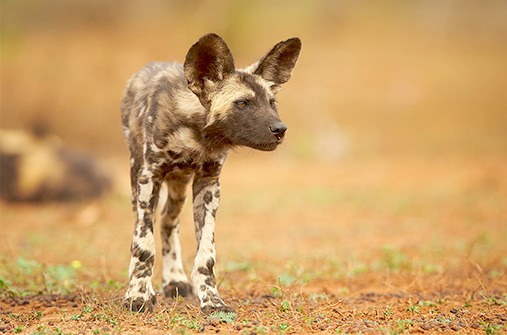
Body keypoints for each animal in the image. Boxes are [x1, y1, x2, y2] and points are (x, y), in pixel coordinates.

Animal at [120, 33, 300, 316]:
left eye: (272, 103)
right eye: (242, 103)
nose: (280, 129)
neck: (198, 134)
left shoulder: (208, 185)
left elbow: (206, 255)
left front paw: (212, 301)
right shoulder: (150, 178)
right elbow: (143, 245)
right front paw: (138, 296)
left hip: (179, 188)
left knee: (168, 221)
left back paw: (174, 280)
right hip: (138, 180)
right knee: (145, 227)